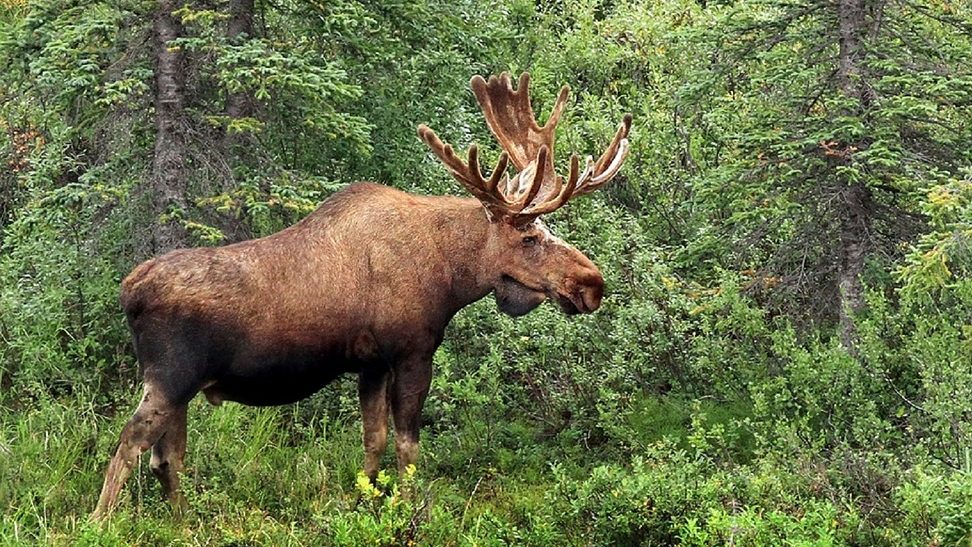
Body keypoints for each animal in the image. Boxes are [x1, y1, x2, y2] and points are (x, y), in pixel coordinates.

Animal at [92, 72, 631, 519]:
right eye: (529, 237)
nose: (592, 283)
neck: (450, 272)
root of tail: (129, 292)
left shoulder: (370, 363)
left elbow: (373, 441)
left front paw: (365, 499)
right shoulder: (412, 350)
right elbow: (408, 445)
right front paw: (410, 508)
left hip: (182, 387)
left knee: (166, 457)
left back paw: (182, 521)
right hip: (170, 376)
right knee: (129, 443)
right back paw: (101, 521)